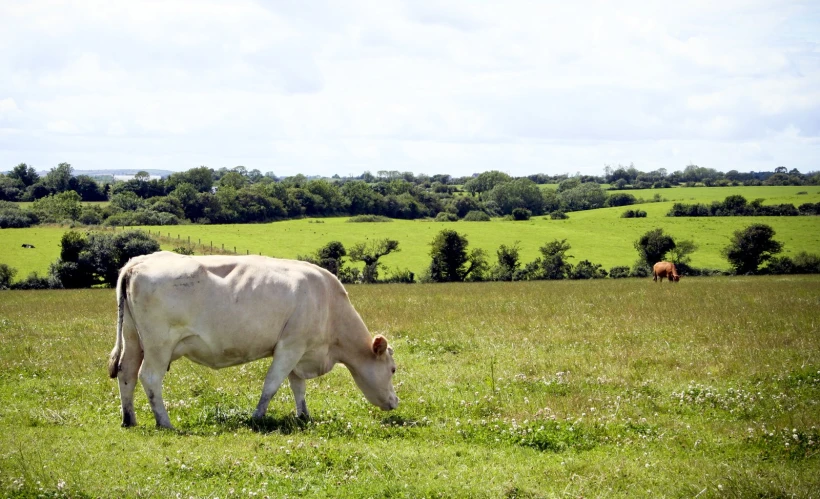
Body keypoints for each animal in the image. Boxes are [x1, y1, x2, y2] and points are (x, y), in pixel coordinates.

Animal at [109, 252, 400, 428]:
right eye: (393, 369)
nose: (396, 401)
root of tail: (139, 262)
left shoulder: (299, 350)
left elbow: (298, 387)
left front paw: (303, 416)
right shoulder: (290, 346)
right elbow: (271, 385)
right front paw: (257, 417)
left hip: (133, 339)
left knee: (127, 373)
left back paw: (129, 419)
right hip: (159, 345)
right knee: (149, 377)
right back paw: (165, 422)